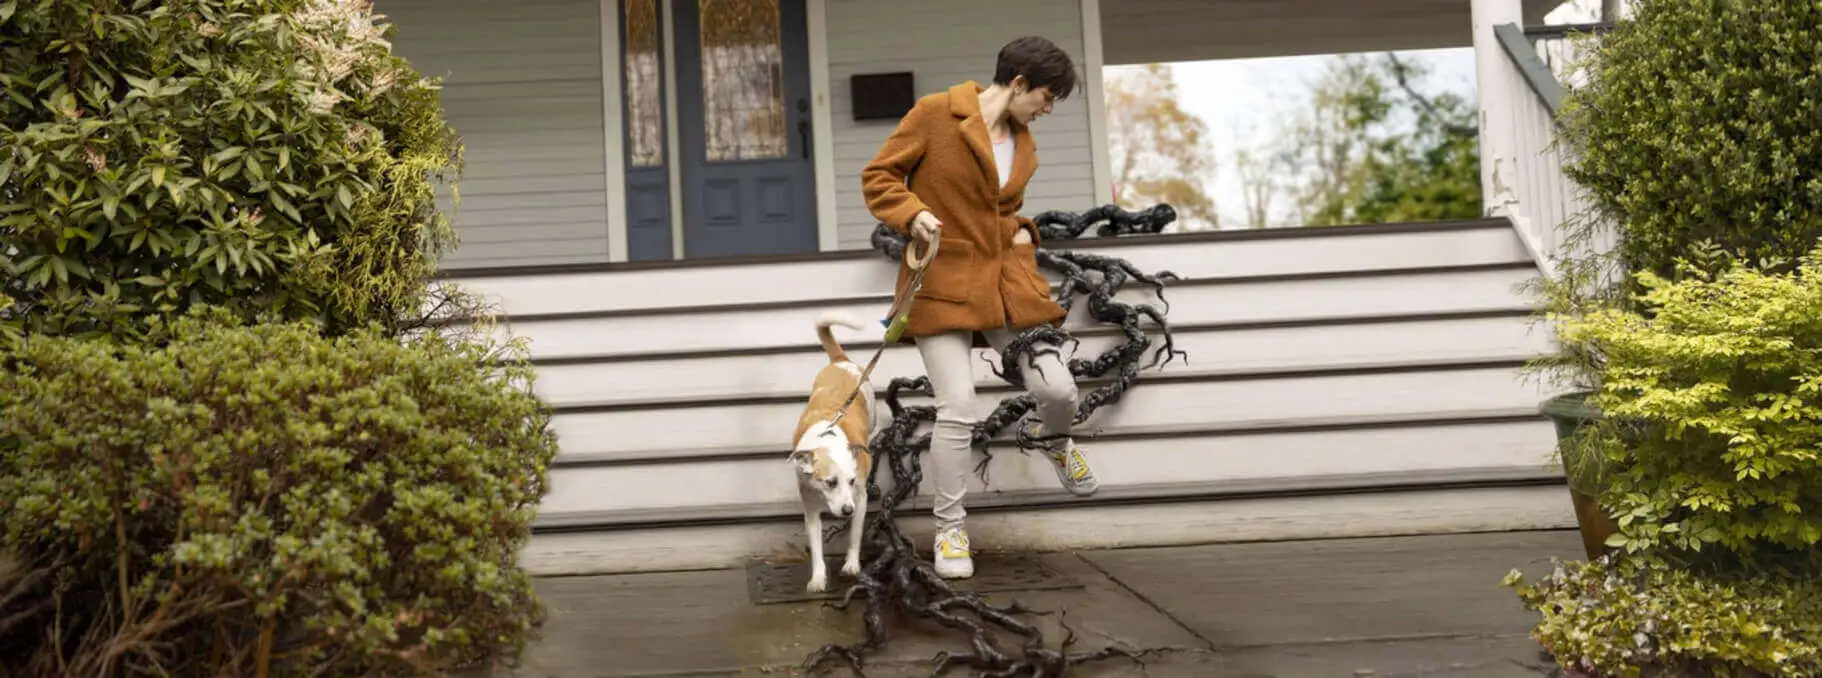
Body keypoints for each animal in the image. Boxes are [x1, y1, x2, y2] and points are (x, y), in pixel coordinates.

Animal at [790, 309, 874, 590]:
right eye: (830, 482)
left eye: (851, 480)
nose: (847, 511)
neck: (828, 438)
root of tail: (840, 361)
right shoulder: (810, 507)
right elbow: (816, 546)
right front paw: (817, 578)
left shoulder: (860, 498)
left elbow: (855, 534)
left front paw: (852, 565)